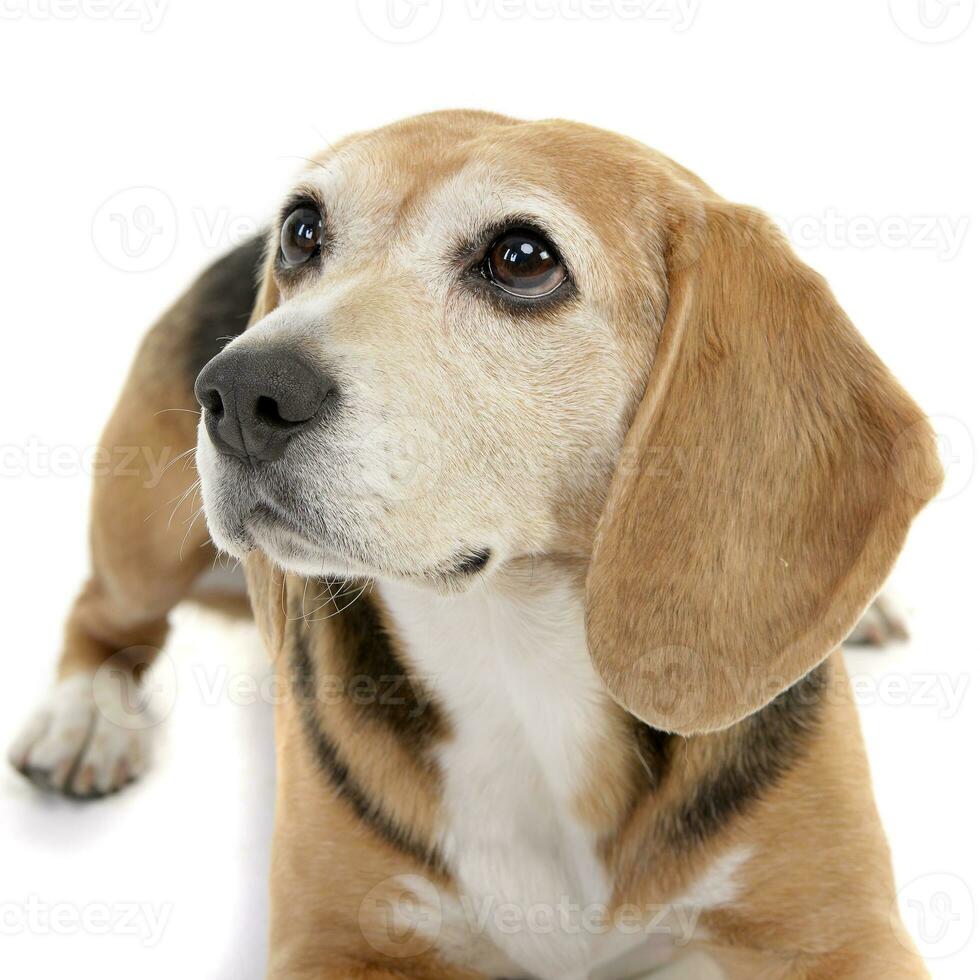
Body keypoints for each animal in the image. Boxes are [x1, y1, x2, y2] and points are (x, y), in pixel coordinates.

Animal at [7, 111, 940, 976]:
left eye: (522, 258)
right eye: (303, 231)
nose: (239, 392)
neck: (520, 659)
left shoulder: (843, 934)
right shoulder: (334, 939)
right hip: (145, 540)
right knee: (103, 616)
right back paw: (86, 718)